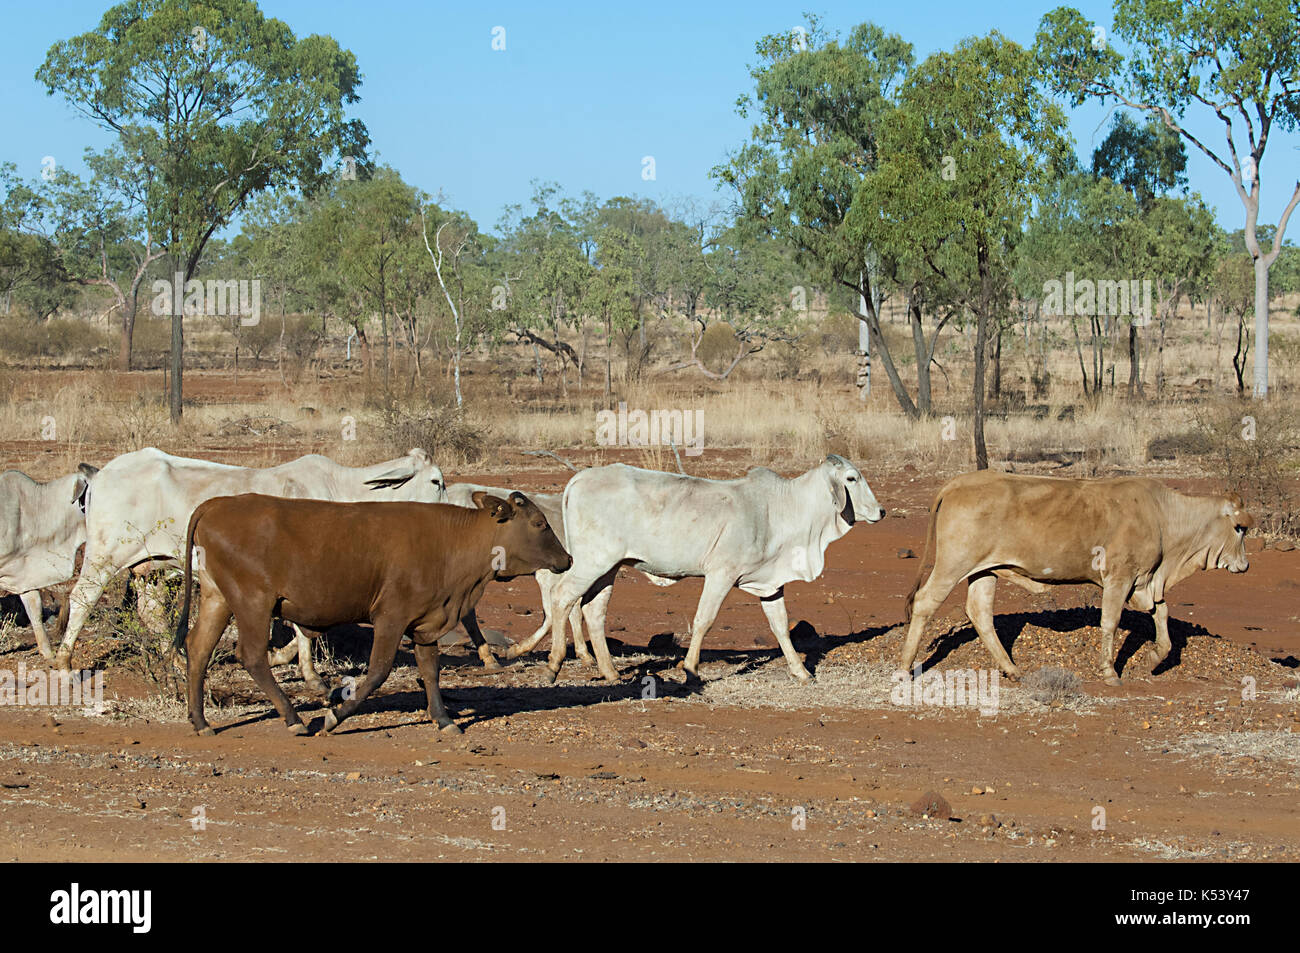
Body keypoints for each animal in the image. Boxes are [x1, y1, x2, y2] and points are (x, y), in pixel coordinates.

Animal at [52, 447, 448, 675]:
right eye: (436, 481)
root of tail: (100, 474)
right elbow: (306, 630)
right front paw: (299, 669)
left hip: (149, 567)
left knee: (151, 613)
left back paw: (178, 660)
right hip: (105, 556)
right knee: (82, 598)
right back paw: (62, 660)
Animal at [173, 491, 571, 736]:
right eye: (539, 524)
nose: (567, 559)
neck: (452, 543)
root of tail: (217, 504)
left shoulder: (426, 620)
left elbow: (430, 671)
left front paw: (443, 719)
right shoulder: (391, 618)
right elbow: (378, 672)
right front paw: (334, 716)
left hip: (217, 598)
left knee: (199, 649)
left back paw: (200, 721)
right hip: (252, 602)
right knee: (252, 656)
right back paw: (293, 718)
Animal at [541, 455, 885, 684]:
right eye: (852, 479)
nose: (881, 511)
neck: (782, 510)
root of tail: (577, 481)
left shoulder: (771, 584)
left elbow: (780, 626)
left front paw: (800, 671)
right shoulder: (721, 574)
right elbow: (704, 620)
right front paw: (691, 670)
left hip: (609, 568)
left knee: (593, 611)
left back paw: (611, 673)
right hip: (592, 562)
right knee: (561, 597)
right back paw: (555, 663)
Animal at [900, 471, 1255, 686]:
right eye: (1240, 528)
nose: (1245, 564)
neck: (1162, 517)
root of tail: (959, 482)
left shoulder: (1145, 582)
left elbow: (1162, 617)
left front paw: (1154, 659)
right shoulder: (1119, 578)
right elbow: (1110, 622)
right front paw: (1109, 672)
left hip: (984, 571)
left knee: (980, 613)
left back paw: (1012, 669)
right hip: (953, 564)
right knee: (925, 602)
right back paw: (904, 668)